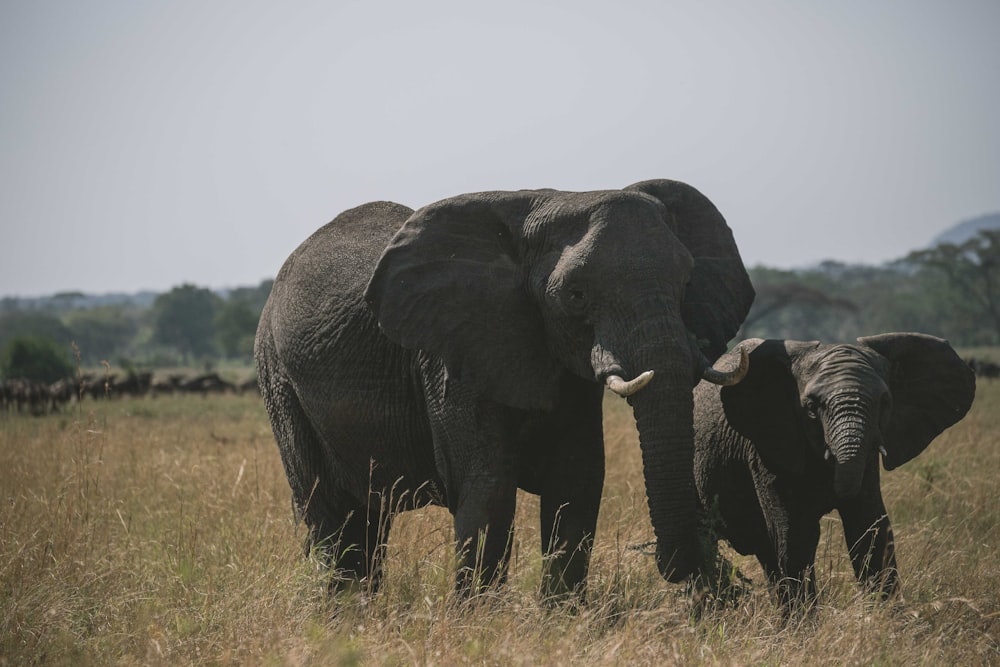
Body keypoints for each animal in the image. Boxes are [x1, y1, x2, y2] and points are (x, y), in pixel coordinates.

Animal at [254, 179, 752, 600]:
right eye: (576, 296)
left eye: (686, 282)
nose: (691, 570)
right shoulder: (453, 356)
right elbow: (489, 493)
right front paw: (476, 625)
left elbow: (578, 483)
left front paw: (561, 621)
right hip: (278, 378)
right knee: (330, 514)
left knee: (366, 520)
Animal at [692, 334, 972, 612]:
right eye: (811, 407)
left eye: (885, 402)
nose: (833, 494)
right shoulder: (768, 449)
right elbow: (796, 533)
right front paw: (804, 621)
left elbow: (870, 527)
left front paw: (886, 616)